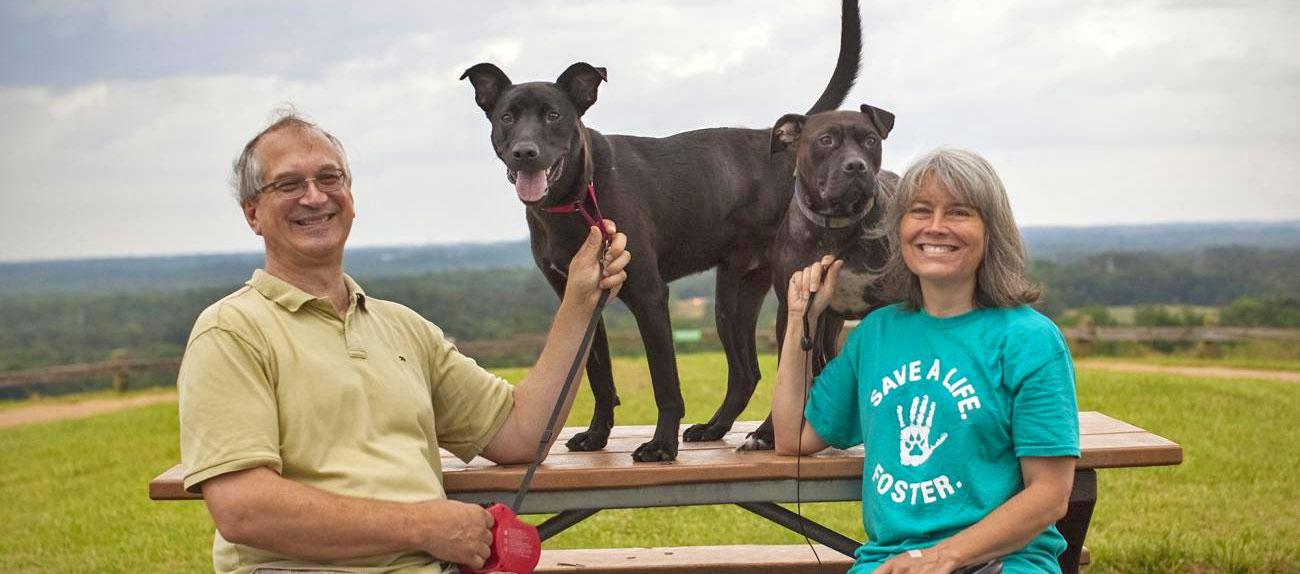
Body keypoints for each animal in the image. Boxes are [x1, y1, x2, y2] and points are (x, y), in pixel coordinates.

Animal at [460, 2, 863, 462]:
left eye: (553, 115)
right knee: (747, 373)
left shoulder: (651, 296)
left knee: (798, 374)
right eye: (507, 117)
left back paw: (766, 434)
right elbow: (599, 375)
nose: (524, 152)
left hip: (791, 299)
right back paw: (716, 428)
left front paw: (660, 445)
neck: (578, 199)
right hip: (733, 297)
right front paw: (596, 436)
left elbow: (664, 380)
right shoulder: (579, 297)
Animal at [743, 104, 894, 451]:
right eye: (826, 140)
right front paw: (767, 432)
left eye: (870, 140)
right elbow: (788, 371)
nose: (856, 166)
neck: (836, 227)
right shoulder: (791, 309)